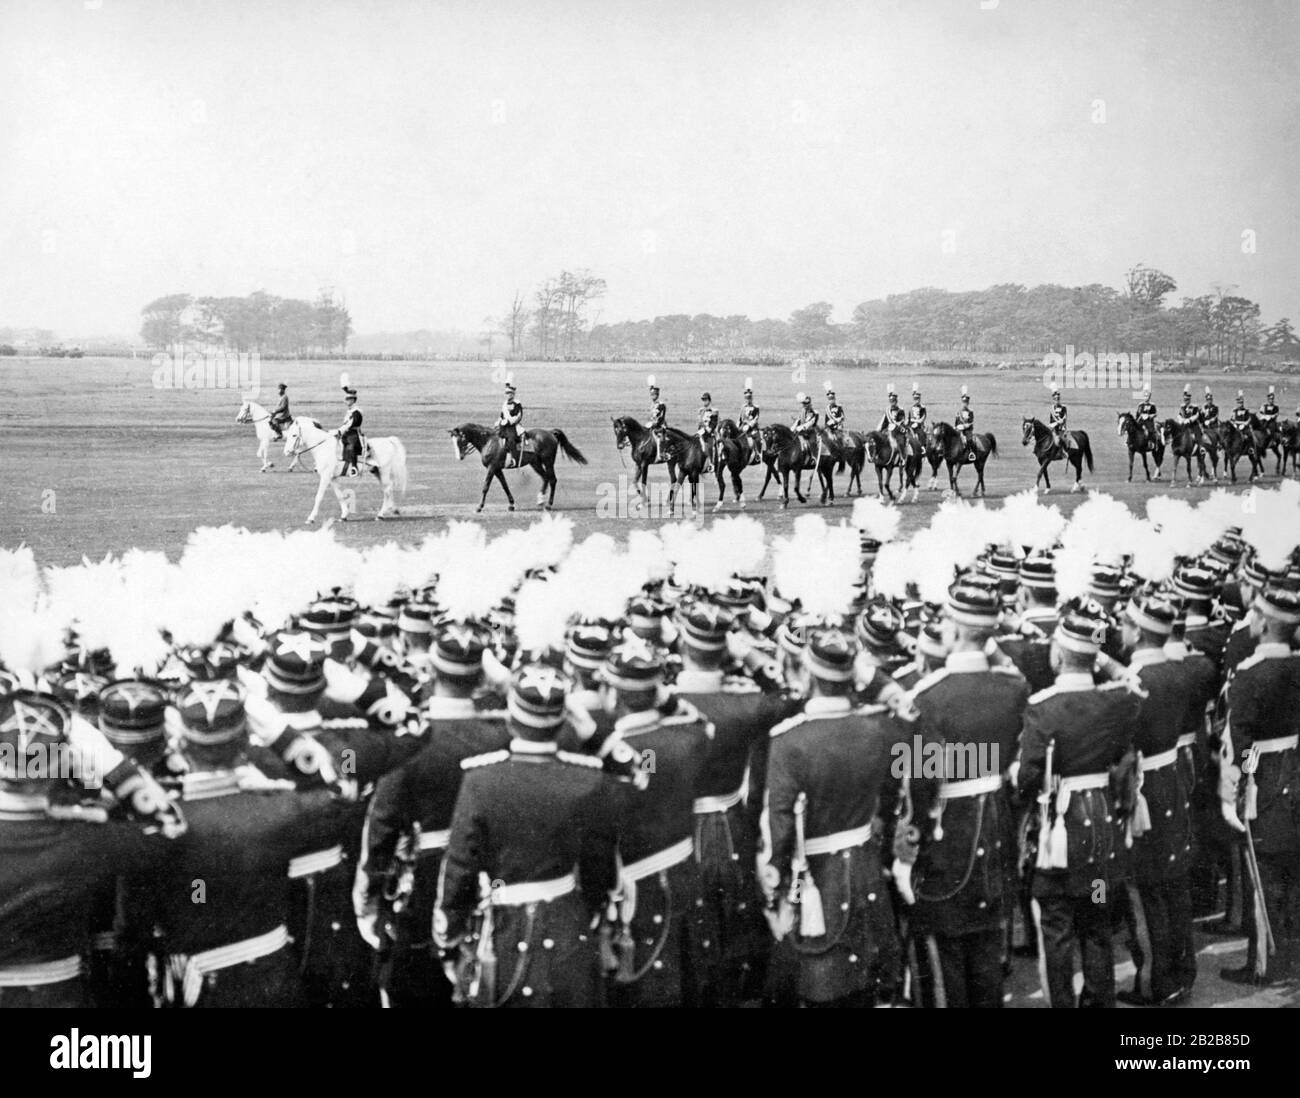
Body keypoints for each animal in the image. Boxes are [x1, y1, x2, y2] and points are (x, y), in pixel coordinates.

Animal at [449, 421, 587, 511]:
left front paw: (479, 507)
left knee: (552, 479)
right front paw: (511, 505)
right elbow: (505, 486)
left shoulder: (492, 467)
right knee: (545, 478)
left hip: (548, 462)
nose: (459, 457)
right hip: (535, 463)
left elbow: (485, 486)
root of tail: (550, 433)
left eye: (460, 440)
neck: (488, 441)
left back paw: (548, 505)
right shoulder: (497, 469)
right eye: (453, 441)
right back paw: (540, 501)